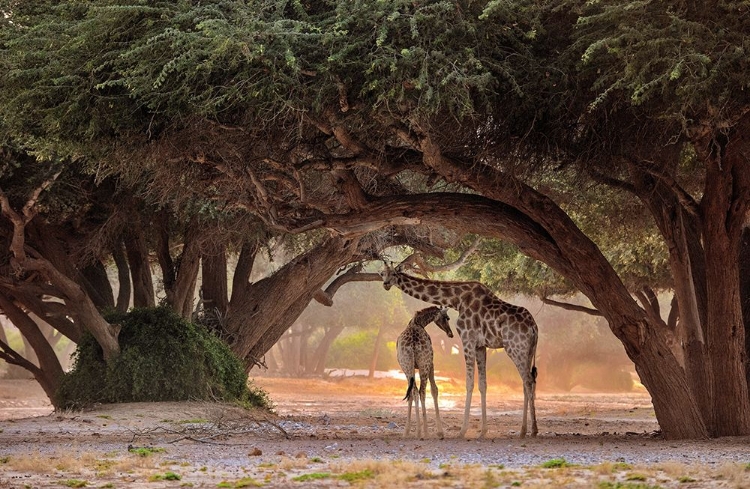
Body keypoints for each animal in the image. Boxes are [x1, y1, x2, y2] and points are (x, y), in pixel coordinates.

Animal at [400, 304, 452, 438]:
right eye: (447, 318)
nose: (450, 333)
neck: (418, 322)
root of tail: (413, 343)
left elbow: (411, 394)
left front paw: (407, 431)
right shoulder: (431, 364)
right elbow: (434, 390)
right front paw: (440, 431)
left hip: (407, 366)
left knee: (413, 392)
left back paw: (416, 431)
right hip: (424, 365)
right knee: (422, 391)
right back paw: (425, 431)